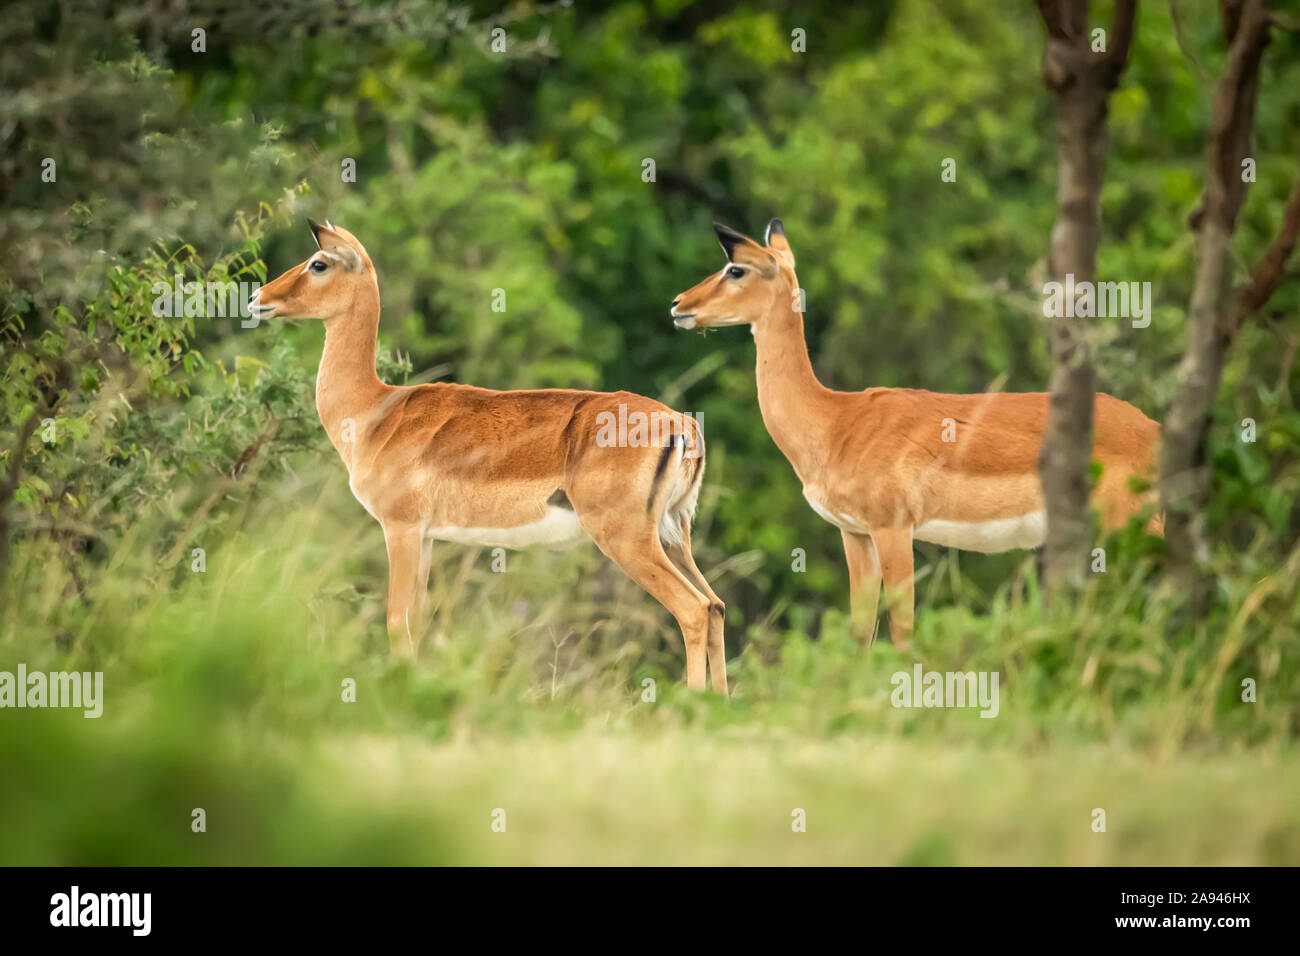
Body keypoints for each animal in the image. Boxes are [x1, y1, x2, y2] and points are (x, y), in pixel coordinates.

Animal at [249, 221, 727, 692]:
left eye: (318, 262)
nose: (257, 299)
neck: (375, 411)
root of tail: (684, 426)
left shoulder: (400, 527)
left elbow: (395, 622)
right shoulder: (425, 536)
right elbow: (416, 622)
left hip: (627, 538)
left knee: (691, 609)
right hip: (672, 534)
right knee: (715, 605)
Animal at [670, 219, 1161, 649]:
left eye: (736, 268)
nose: (679, 304)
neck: (835, 422)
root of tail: (1155, 431)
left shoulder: (893, 528)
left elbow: (902, 627)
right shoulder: (855, 533)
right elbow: (861, 631)